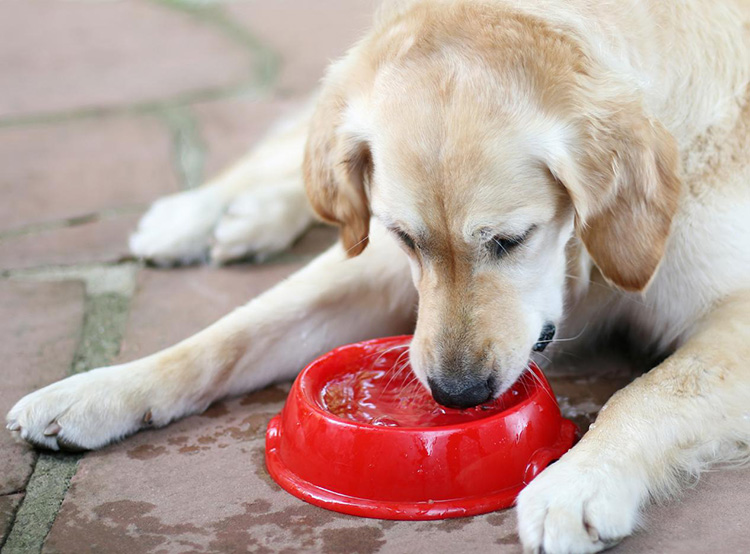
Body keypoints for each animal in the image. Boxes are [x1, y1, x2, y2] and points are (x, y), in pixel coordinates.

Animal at [7, 0, 750, 548]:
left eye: (511, 240)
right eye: (405, 237)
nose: (456, 395)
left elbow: (650, 393)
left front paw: (579, 483)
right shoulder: (378, 262)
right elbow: (226, 335)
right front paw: (97, 390)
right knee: (304, 151)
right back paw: (201, 214)